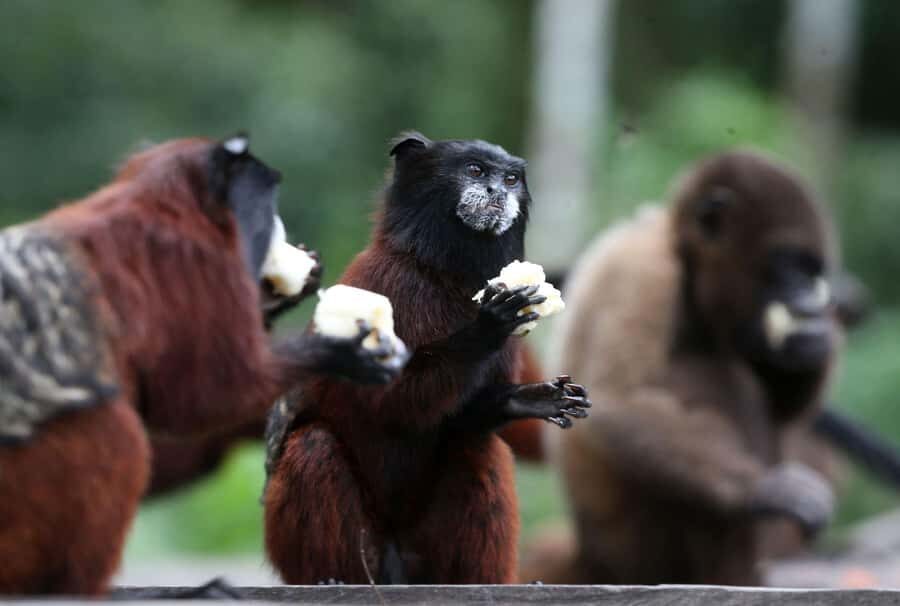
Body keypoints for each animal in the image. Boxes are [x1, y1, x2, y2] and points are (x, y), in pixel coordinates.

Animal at [0, 135, 402, 595]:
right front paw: (335, 352)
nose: (275, 226)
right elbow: (203, 397)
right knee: (117, 434)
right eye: (266, 203)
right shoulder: (190, 259)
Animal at [263, 132, 591, 585]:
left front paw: (531, 398)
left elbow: (461, 419)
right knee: (312, 446)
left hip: (425, 555)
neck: (441, 275)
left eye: (510, 179)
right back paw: (333, 578)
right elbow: (388, 402)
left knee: (477, 445)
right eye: (475, 171)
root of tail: (397, 561)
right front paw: (484, 328)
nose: (497, 192)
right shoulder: (386, 286)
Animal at [521, 150, 840, 586]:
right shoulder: (644, 274)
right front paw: (765, 489)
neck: (682, 257)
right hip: (641, 552)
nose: (807, 300)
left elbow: (783, 407)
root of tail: (591, 556)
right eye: (787, 265)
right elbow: (621, 402)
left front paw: (810, 341)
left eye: (811, 272)